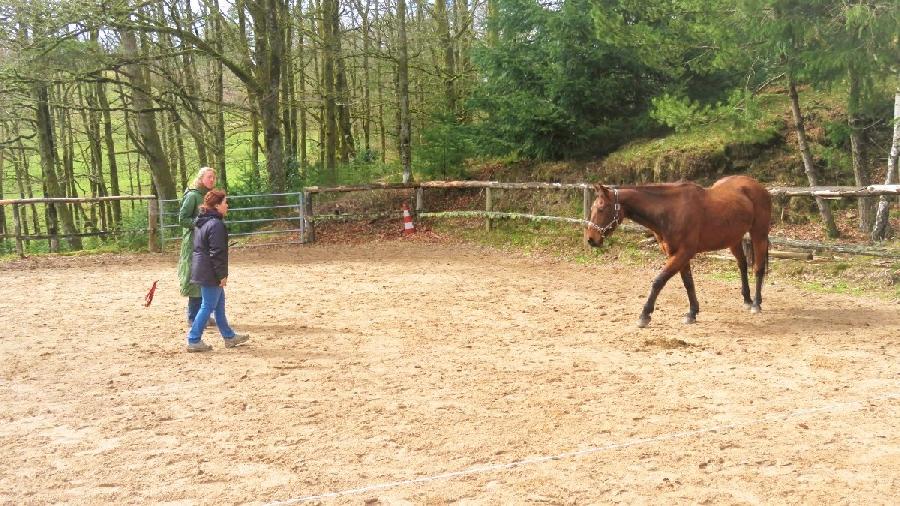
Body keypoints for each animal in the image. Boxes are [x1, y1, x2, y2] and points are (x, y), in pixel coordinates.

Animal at [588, 176, 768, 328]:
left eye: (602, 208)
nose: (591, 239)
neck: (671, 210)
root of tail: (756, 185)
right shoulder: (677, 254)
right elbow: (688, 283)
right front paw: (692, 312)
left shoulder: (683, 253)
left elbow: (658, 281)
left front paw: (645, 315)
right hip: (733, 239)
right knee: (742, 265)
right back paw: (747, 299)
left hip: (759, 234)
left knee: (758, 268)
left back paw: (756, 303)